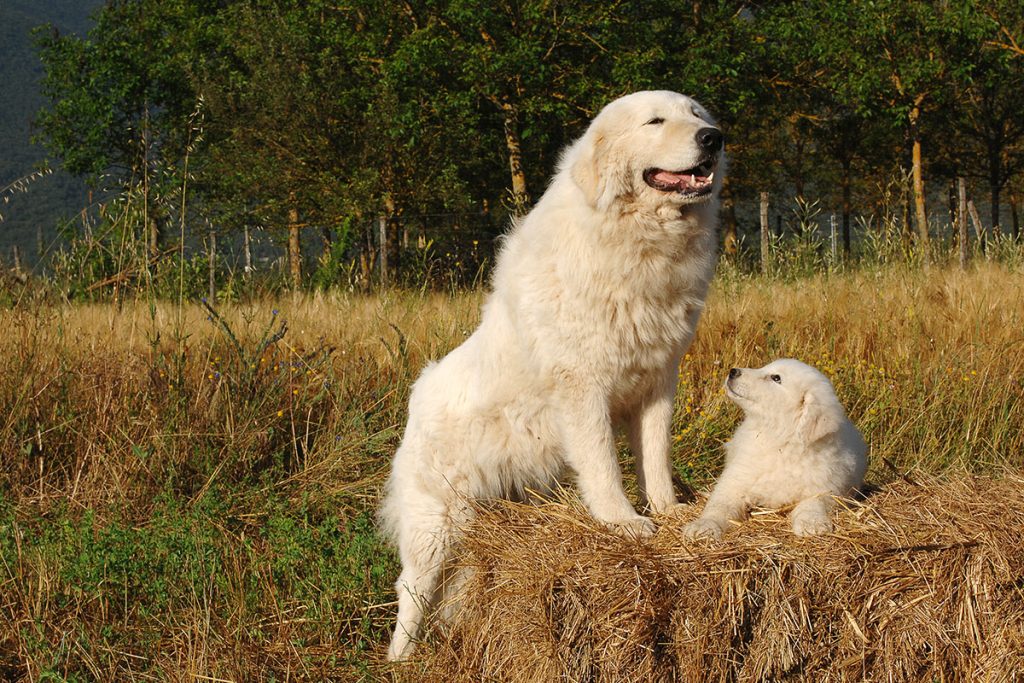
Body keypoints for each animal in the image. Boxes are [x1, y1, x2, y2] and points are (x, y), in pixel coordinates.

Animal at [380, 88, 724, 659]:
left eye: (697, 115)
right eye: (655, 121)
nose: (713, 138)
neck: (633, 240)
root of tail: (416, 399)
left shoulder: (657, 382)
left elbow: (654, 457)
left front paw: (670, 510)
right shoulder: (584, 388)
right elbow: (603, 466)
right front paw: (623, 522)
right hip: (435, 526)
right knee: (411, 592)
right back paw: (400, 660)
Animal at [684, 360, 868, 540]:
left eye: (776, 378)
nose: (733, 371)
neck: (779, 442)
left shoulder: (826, 488)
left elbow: (814, 503)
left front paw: (812, 523)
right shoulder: (734, 482)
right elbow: (719, 507)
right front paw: (704, 526)